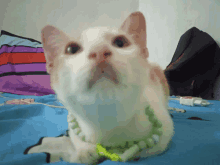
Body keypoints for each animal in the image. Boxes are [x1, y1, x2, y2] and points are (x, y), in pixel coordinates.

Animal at [25, 11, 174, 164]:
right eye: (72, 49)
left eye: (120, 42)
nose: (99, 50)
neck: (107, 121)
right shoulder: (74, 131)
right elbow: (79, 146)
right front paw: (85, 152)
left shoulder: (165, 127)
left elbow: (152, 147)